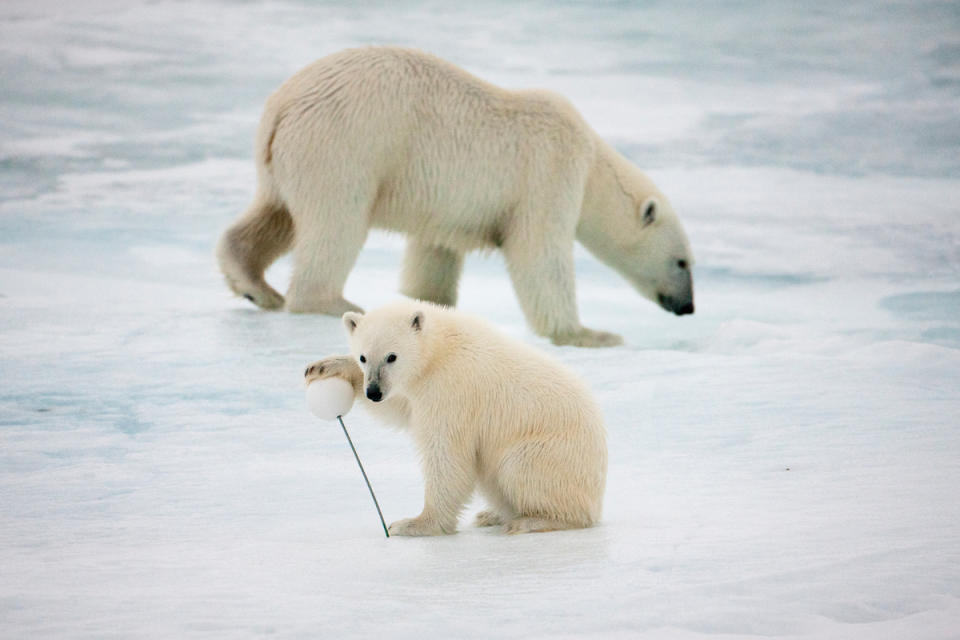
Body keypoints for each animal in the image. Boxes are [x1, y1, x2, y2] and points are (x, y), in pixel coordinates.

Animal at [218, 47, 692, 348]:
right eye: (682, 262)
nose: (688, 307)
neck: (592, 161)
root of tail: (282, 106)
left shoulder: (446, 210)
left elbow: (434, 256)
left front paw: (428, 308)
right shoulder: (548, 171)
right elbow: (540, 257)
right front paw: (591, 335)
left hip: (286, 158)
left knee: (273, 216)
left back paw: (256, 287)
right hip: (344, 145)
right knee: (335, 223)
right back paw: (336, 302)